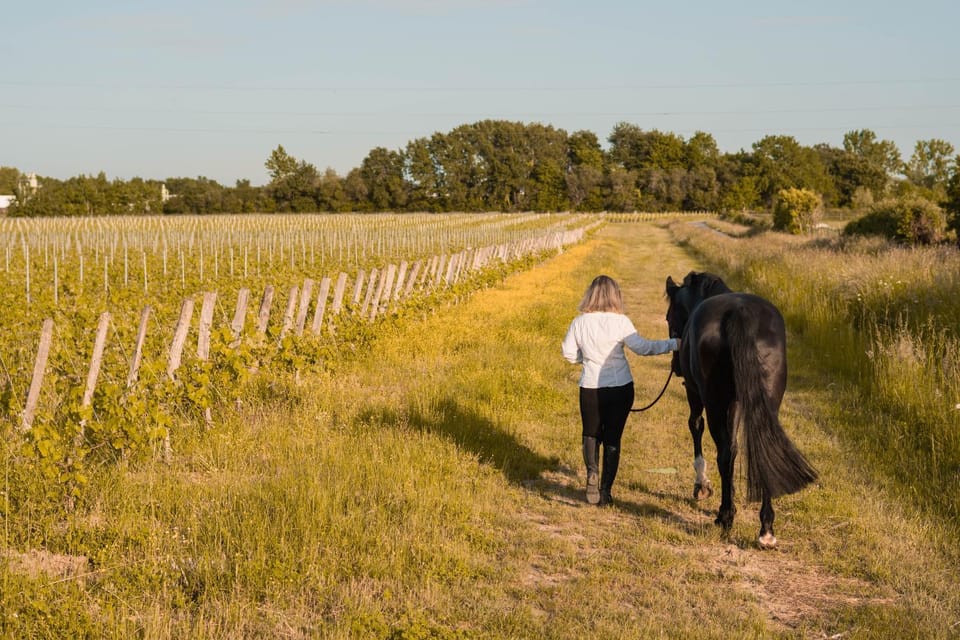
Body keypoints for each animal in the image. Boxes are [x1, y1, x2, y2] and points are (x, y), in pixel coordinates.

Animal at [665, 271, 817, 548]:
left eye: (669, 316)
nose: (676, 366)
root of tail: (740, 313)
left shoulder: (695, 393)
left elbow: (696, 426)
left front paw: (702, 486)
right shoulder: (735, 402)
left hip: (714, 401)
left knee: (724, 452)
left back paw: (725, 517)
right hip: (765, 402)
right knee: (765, 448)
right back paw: (766, 529)